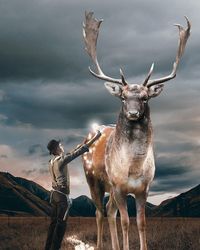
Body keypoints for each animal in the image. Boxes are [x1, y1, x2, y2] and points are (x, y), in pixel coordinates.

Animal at [81, 11, 191, 250]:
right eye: (123, 97)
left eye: (145, 97)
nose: (132, 113)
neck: (133, 169)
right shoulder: (119, 187)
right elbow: (125, 222)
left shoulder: (144, 188)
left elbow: (141, 223)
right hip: (94, 179)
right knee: (99, 212)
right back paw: (101, 245)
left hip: (109, 188)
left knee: (109, 212)